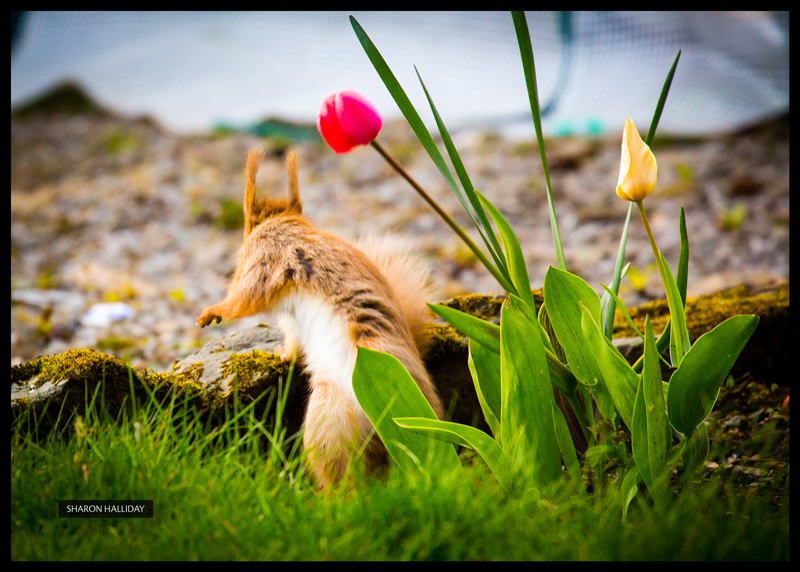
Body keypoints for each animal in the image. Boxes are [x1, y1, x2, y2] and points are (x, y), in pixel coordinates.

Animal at [196, 150, 440, 490]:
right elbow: (292, 341)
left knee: (340, 476)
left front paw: (212, 312)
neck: (289, 226)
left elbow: (243, 300)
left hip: (328, 419)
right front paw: (282, 354)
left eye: (247, 227)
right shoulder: (292, 319)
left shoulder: (263, 262)